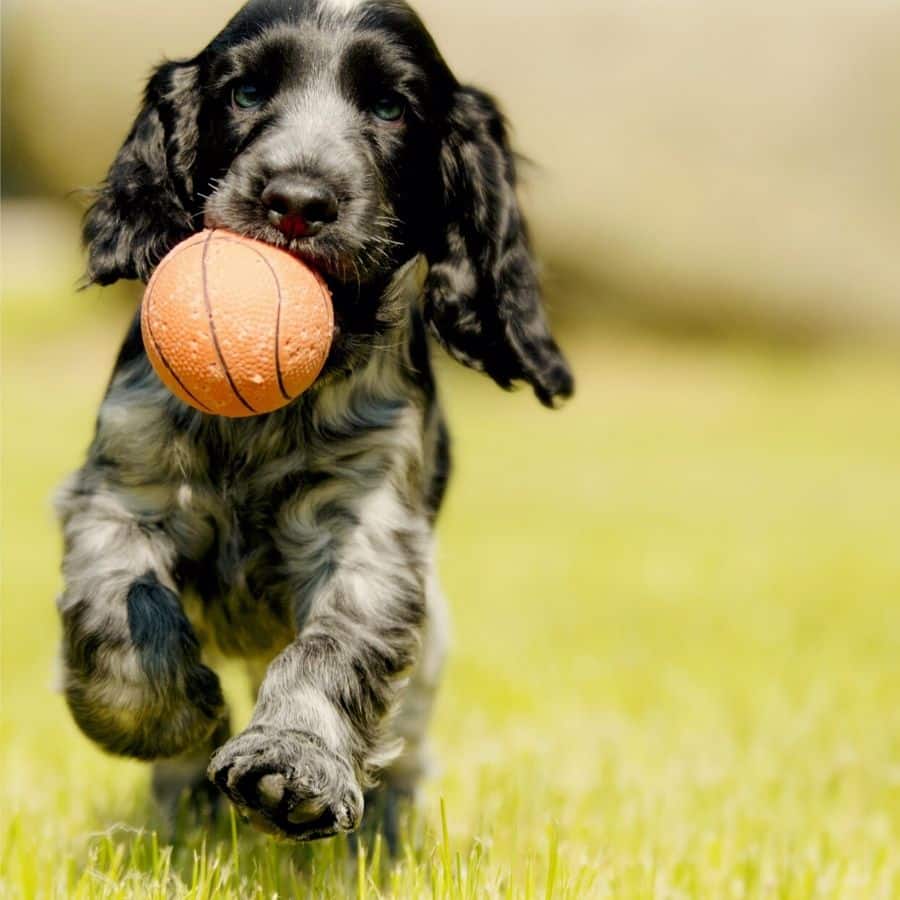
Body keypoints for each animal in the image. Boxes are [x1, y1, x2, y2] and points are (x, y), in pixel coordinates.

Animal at [56, 0, 572, 844]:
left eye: (391, 108)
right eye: (244, 93)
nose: (297, 200)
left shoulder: (368, 529)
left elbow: (334, 647)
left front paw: (292, 766)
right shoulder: (124, 486)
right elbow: (118, 604)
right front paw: (169, 718)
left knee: (408, 738)